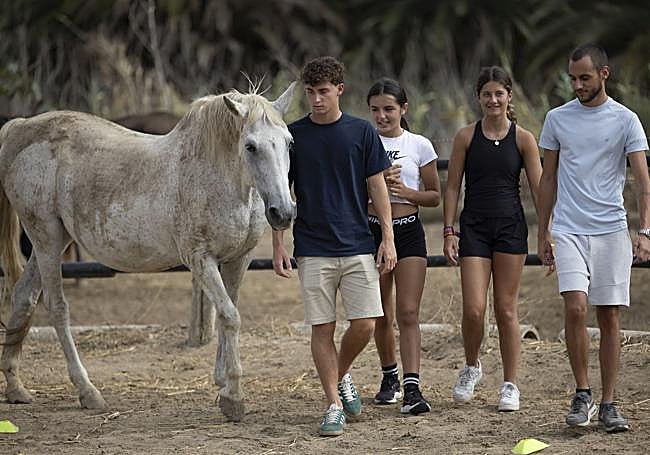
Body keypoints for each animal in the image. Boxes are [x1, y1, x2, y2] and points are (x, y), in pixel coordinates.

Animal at [0, 82, 297, 421]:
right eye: (250, 146)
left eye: (288, 143)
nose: (283, 213)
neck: (217, 176)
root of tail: (18, 128)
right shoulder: (201, 259)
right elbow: (230, 316)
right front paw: (233, 397)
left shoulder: (238, 258)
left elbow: (227, 312)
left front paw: (222, 383)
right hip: (46, 239)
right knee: (57, 307)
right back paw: (87, 391)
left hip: (51, 241)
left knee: (23, 296)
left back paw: (16, 387)